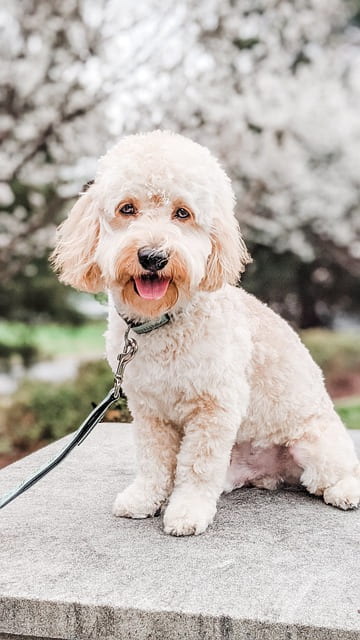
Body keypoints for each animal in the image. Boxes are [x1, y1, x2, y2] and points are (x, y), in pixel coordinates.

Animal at [51, 130, 360, 536]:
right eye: (127, 209)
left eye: (183, 213)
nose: (153, 257)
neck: (163, 322)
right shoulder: (149, 409)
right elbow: (153, 459)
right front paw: (144, 498)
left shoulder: (214, 408)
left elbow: (196, 466)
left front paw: (187, 511)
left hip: (314, 443)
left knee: (334, 472)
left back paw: (344, 491)